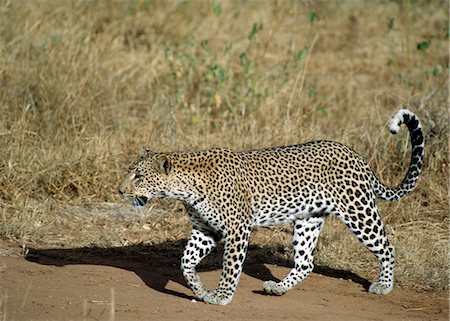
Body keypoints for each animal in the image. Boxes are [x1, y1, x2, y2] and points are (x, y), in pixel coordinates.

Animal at [118, 109, 422, 304]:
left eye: (139, 176)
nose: (120, 190)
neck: (185, 188)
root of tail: (356, 155)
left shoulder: (237, 229)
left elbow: (230, 266)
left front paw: (221, 296)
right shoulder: (205, 230)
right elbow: (185, 261)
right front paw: (199, 290)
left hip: (358, 212)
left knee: (387, 248)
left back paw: (384, 285)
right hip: (308, 219)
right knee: (305, 262)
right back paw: (277, 289)